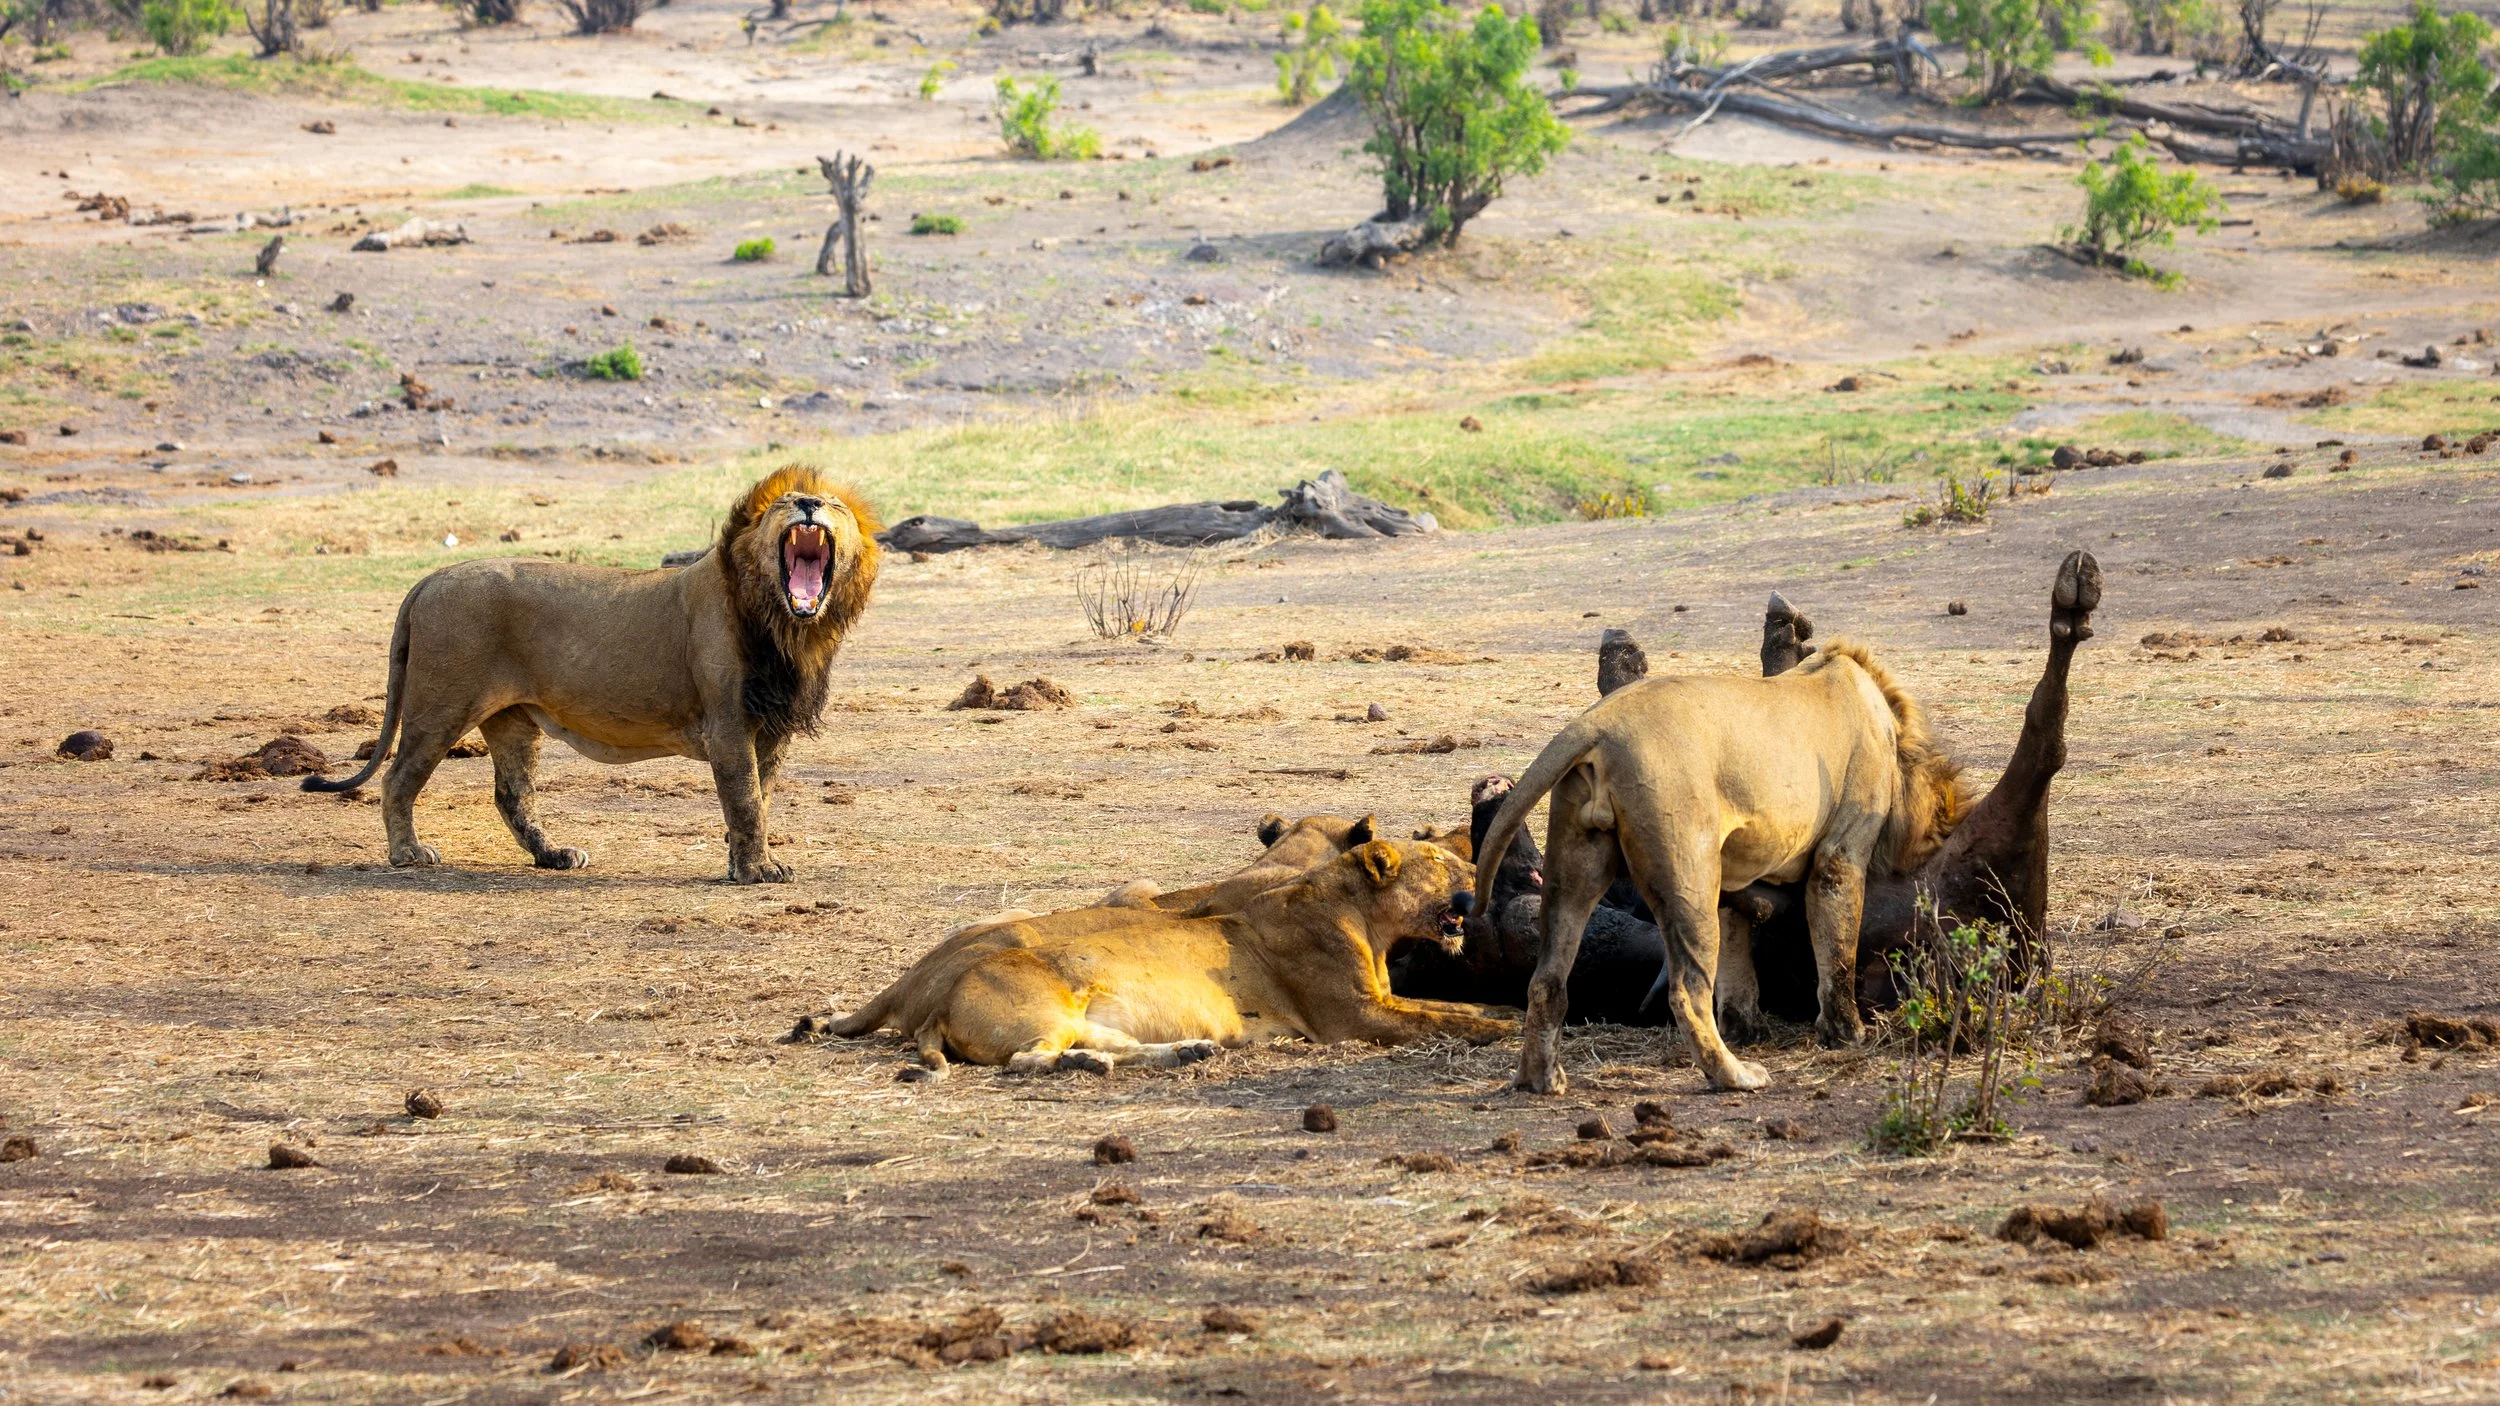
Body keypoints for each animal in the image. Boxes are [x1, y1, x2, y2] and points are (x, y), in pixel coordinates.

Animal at [304, 466, 880, 883]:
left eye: (834, 506)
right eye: (785, 503)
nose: (809, 505)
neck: (788, 629)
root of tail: (433, 575)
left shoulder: (772, 729)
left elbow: (760, 795)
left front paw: (741, 860)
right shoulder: (728, 724)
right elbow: (745, 798)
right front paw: (757, 870)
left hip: (513, 719)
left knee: (511, 794)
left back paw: (554, 856)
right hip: (440, 706)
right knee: (399, 778)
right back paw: (408, 853)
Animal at [795, 839, 1514, 1076]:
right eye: (1444, 861)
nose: (1479, 875)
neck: (1364, 916)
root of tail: (930, 1001)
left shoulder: (1379, 1001)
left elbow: (1451, 1007)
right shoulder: (1353, 1017)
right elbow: (1446, 1018)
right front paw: (1503, 1030)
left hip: (1081, 1011)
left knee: (1103, 1044)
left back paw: (1183, 1052)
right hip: (1040, 1007)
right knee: (1030, 1060)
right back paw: (1084, 1066)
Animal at [1476, 641, 1963, 1094]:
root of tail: (1597, 722)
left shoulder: (1732, 869)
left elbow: (1736, 957)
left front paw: (1748, 1029)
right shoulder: (1840, 852)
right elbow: (1838, 951)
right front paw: (1847, 1033)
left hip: (1575, 860)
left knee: (1547, 979)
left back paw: (1540, 1079)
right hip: (1689, 869)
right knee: (1687, 992)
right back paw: (1735, 1076)